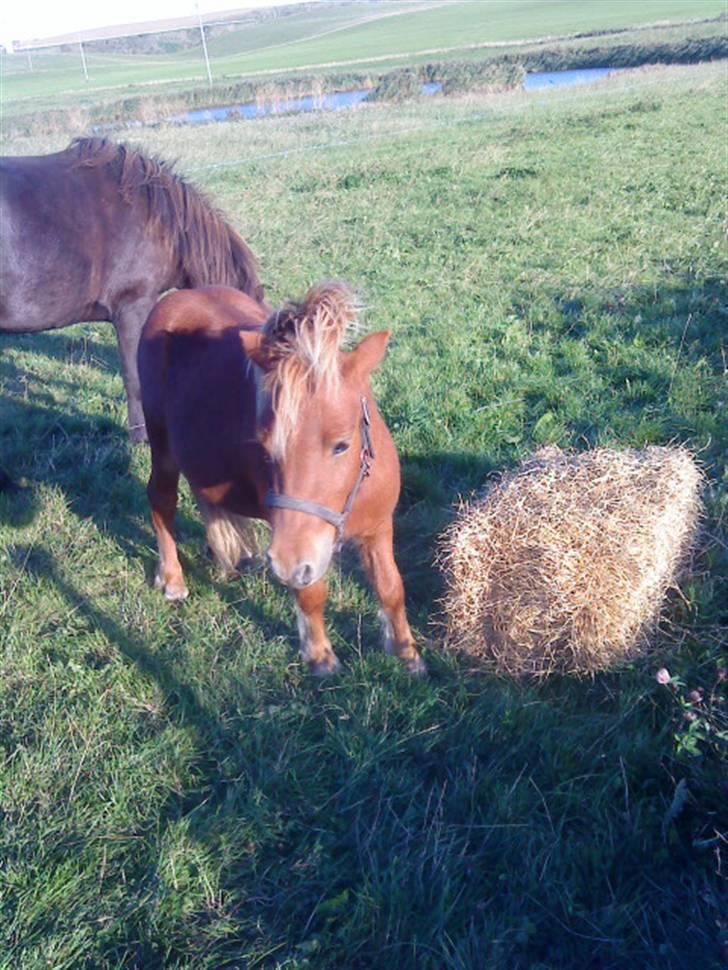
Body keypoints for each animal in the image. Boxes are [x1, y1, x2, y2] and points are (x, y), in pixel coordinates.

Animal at [140, 280, 426, 672]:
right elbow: (311, 593)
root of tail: (179, 297)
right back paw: (172, 579)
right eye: (266, 447)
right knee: (162, 502)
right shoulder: (298, 545)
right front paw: (319, 655)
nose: (287, 563)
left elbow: (391, 587)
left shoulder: (379, 528)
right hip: (162, 445)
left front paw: (406, 651)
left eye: (341, 445)